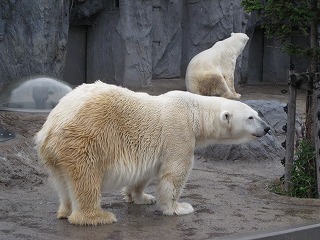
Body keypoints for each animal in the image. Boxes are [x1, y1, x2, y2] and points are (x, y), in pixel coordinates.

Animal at [35, 81, 270, 226]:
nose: (267, 128)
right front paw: (179, 207)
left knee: (62, 182)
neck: (195, 112)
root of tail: (52, 125)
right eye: (251, 117)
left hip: (54, 153)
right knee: (86, 177)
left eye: (258, 114)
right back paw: (98, 216)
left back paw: (65, 211)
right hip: (85, 139)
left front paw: (141, 197)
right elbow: (174, 173)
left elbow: (144, 174)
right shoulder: (179, 132)